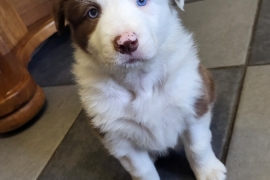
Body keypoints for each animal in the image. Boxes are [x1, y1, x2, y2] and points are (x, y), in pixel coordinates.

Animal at [53, 0, 227, 179]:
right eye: (92, 13)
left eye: (142, 1)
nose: (126, 43)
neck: (141, 80)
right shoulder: (117, 137)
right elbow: (142, 169)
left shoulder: (194, 103)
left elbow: (198, 147)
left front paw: (209, 172)